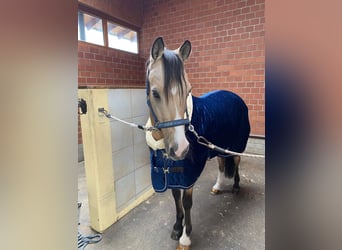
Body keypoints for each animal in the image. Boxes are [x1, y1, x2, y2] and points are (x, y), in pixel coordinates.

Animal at [146, 37, 250, 250]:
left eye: (188, 90)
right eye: (155, 93)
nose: (180, 149)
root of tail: (236, 96)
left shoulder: (188, 173)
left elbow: (186, 203)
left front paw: (185, 238)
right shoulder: (174, 171)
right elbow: (176, 199)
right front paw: (177, 228)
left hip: (235, 146)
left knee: (235, 163)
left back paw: (236, 187)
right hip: (218, 147)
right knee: (221, 165)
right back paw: (217, 187)